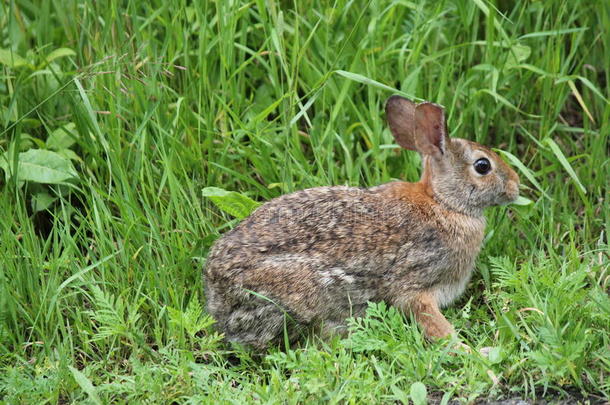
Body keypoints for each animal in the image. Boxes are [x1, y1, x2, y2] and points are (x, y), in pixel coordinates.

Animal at [203, 94, 516, 348]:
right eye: (483, 166)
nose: (516, 186)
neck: (442, 202)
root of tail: (217, 299)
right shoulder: (418, 283)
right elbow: (433, 323)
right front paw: (471, 352)